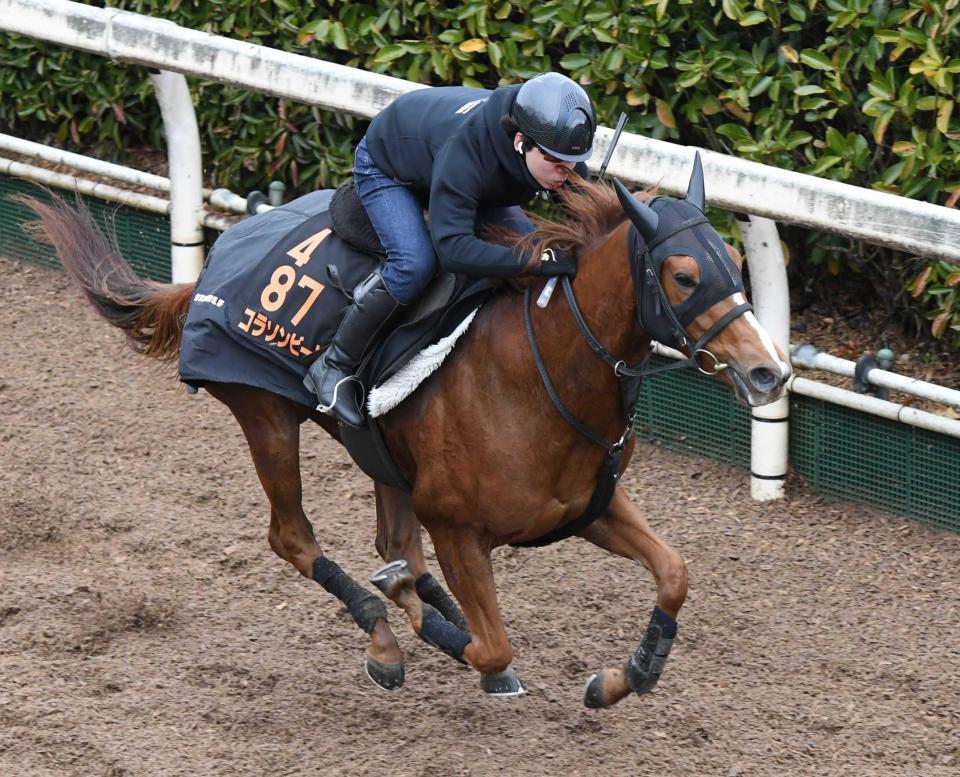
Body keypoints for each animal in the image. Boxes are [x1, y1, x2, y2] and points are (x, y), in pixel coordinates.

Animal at [20, 155, 788, 708]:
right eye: (683, 275)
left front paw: (623, 676)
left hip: (382, 454)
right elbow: (492, 643)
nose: (768, 371)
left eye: (735, 262)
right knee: (293, 537)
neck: (540, 374)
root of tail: (219, 254)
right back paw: (386, 635)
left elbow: (675, 572)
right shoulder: (455, 523)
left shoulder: (587, 506)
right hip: (266, 417)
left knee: (391, 539)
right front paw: (424, 622)